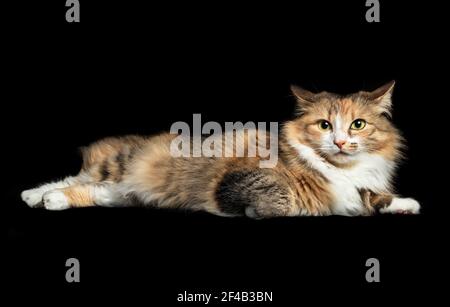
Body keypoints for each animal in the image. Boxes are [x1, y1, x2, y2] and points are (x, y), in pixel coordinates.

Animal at [22, 80, 422, 218]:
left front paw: (406, 204)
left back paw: (49, 201)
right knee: (74, 178)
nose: (339, 141)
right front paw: (253, 211)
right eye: (324, 125)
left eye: (358, 125)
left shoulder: (362, 188)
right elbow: (280, 198)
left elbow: (376, 197)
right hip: (119, 167)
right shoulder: (239, 177)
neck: (340, 170)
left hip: (120, 194)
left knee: (88, 190)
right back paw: (34, 195)